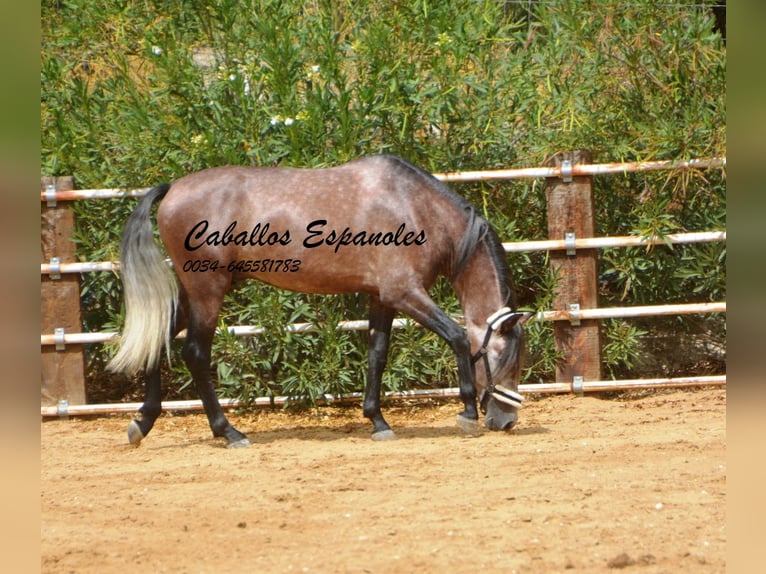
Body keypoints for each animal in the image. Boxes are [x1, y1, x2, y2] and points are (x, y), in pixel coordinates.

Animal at [109, 155, 536, 448]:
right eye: (503, 358)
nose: (506, 420)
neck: (416, 208)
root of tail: (173, 188)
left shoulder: (382, 298)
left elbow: (377, 355)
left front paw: (378, 421)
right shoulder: (405, 293)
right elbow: (459, 338)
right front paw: (467, 413)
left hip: (194, 293)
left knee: (159, 339)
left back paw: (142, 423)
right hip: (208, 292)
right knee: (195, 354)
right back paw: (229, 432)